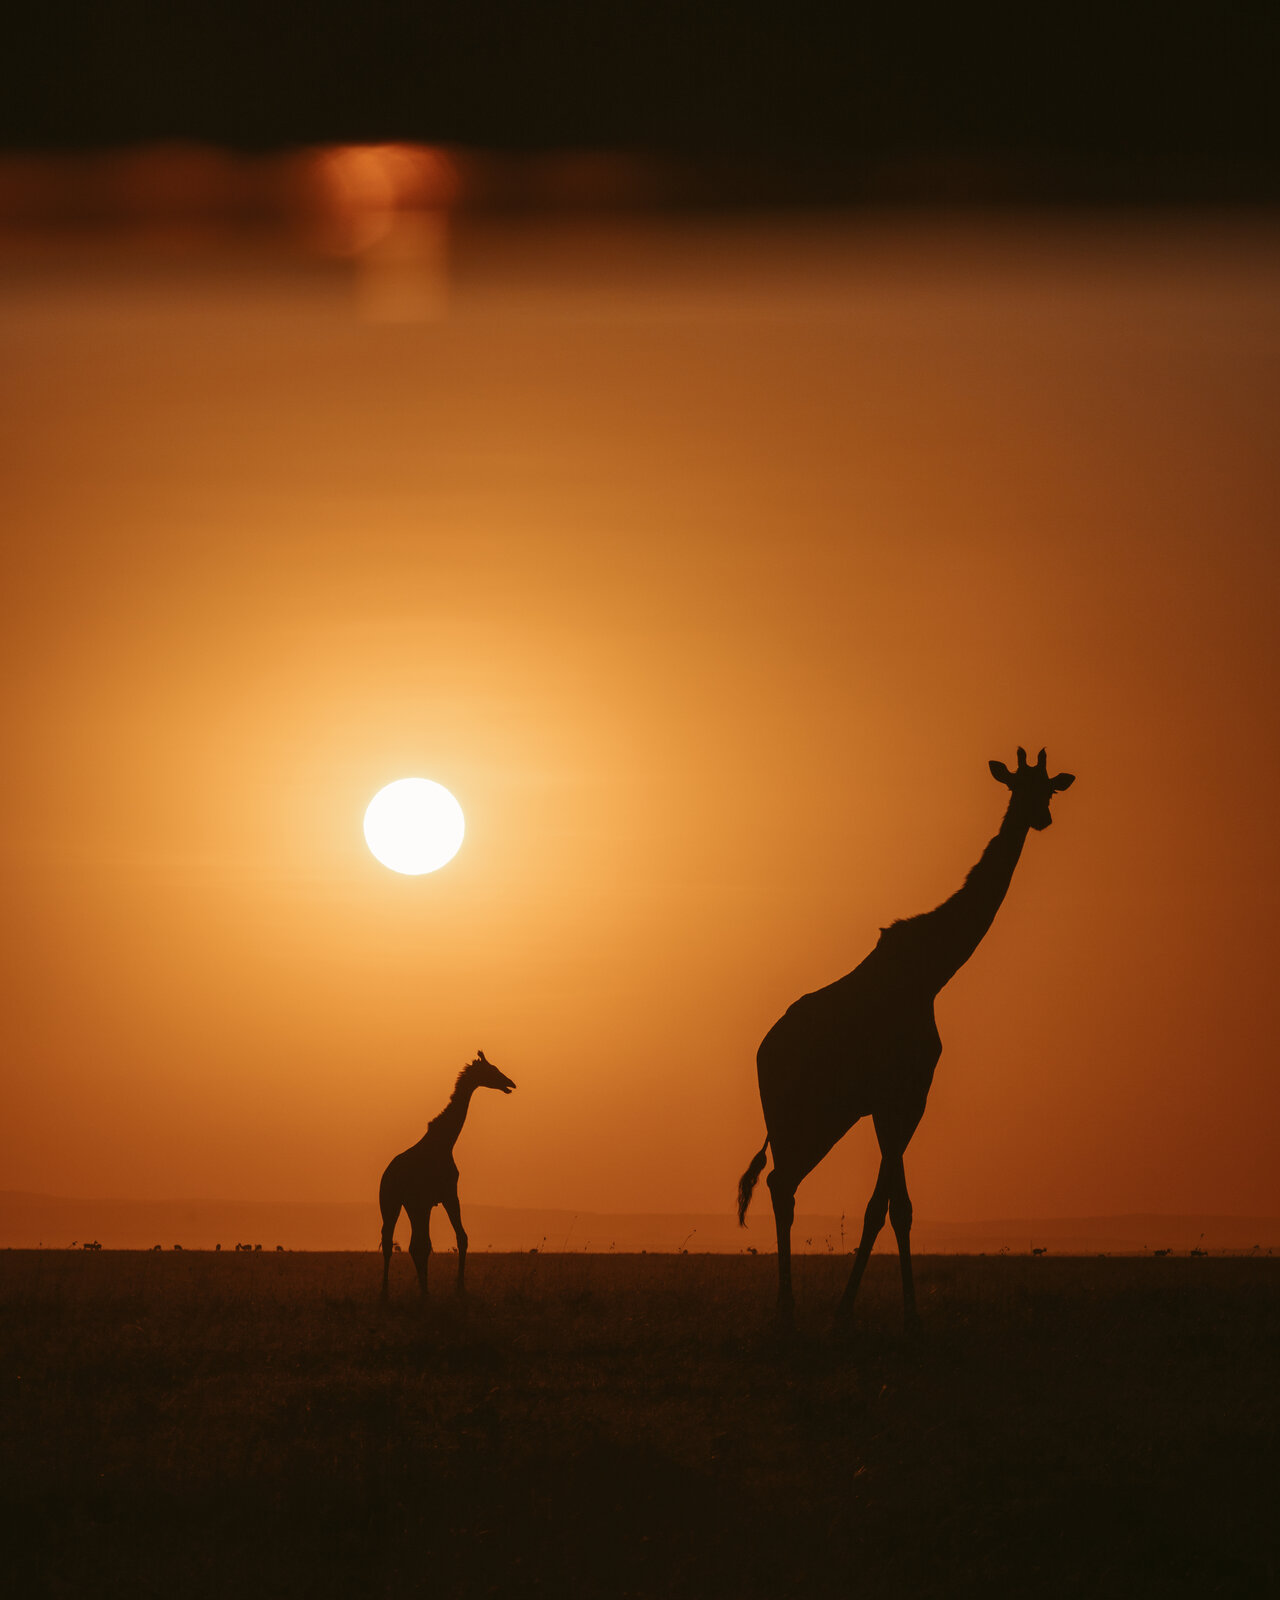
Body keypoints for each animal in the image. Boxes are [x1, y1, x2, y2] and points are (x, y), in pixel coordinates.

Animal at [379, 1050, 516, 1302]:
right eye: (492, 1070)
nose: (510, 1083)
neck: (445, 1142)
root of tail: (387, 1175)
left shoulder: (439, 1198)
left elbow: (455, 1238)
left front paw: (456, 1288)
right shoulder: (440, 1196)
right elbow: (444, 1241)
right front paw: (453, 1288)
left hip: (404, 1205)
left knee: (408, 1243)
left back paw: (414, 1291)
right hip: (398, 1203)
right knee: (398, 1241)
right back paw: (394, 1292)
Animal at [737, 748, 1074, 1330]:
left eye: (1049, 788)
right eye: (1018, 786)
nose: (1042, 818)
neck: (931, 973)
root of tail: (763, 1052)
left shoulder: (906, 1098)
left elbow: (888, 1207)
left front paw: (870, 1311)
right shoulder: (898, 1095)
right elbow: (892, 1206)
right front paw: (884, 1314)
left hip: (825, 1116)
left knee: (783, 1181)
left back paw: (790, 1307)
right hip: (799, 1115)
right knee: (782, 1184)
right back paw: (786, 1308)